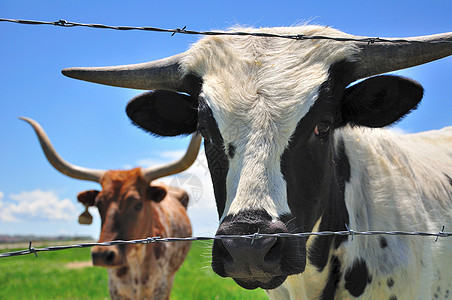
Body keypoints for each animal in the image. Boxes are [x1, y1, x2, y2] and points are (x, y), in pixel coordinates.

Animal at [20, 117, 201, 300]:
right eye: (99, 204)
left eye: (138, 204)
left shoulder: (160, 287)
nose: (102, 255)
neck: (135, 262)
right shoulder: (115, 289)